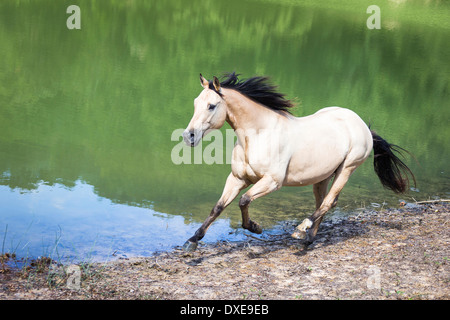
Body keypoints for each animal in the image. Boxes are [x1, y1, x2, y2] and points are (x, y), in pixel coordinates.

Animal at [180, 72, 414, 252]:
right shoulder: (237, 178)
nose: (188, 136)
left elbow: (244, 201)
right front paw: (192, 240)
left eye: (211, 106)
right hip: (323, 176)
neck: (258, 135)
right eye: (195, 103)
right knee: (326, 202)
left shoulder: (272, 182)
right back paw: (308, 239)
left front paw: (255, 227)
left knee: (328, 202)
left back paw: (301, 230)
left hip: (347, 169)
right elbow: (218, 207)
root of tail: (363, 125)